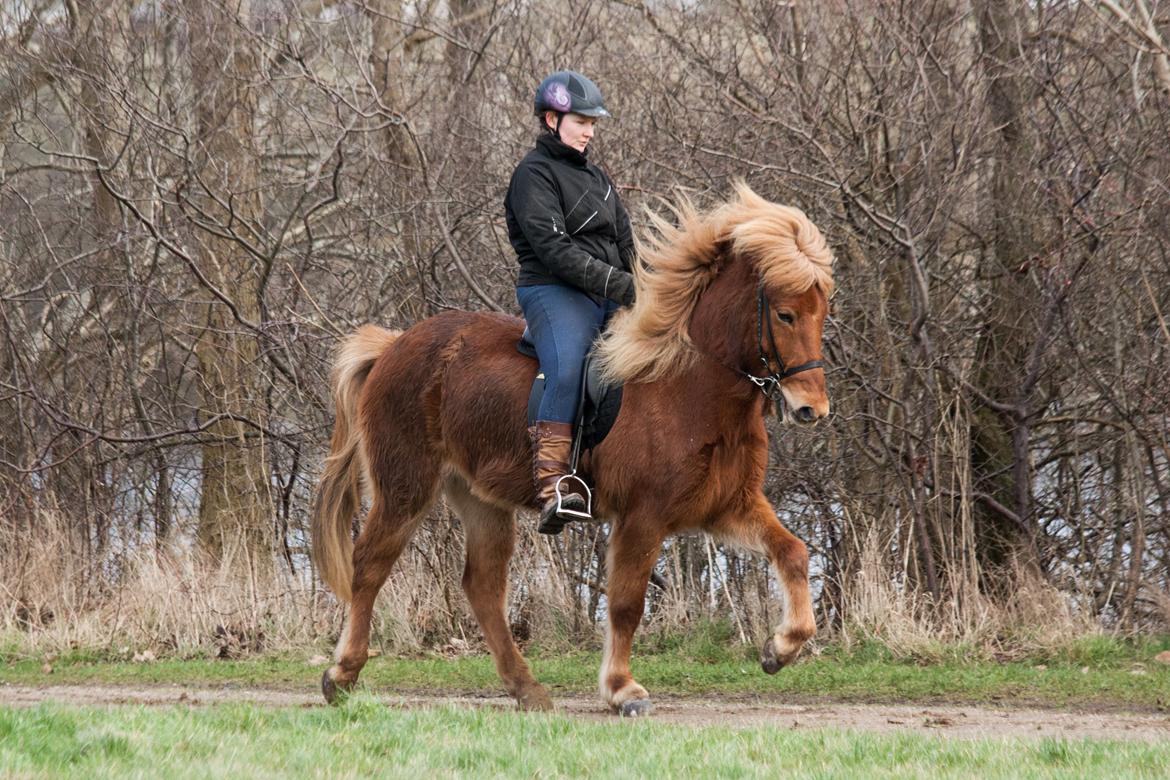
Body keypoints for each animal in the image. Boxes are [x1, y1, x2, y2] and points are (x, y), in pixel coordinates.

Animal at [311, 181, 833, 715]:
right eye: (785, 314)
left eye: (822, 313)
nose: (811, 409)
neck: (688, 381)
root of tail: (393, 346)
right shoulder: (642, 517)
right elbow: (625, 604)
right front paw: (623, 689)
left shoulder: (728, 506)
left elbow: (792, 552)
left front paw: (780, 648)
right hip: (406, 485)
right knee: (370, 565)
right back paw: (342, 674)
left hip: (480, 499)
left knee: (482, 586)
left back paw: (527, 688)